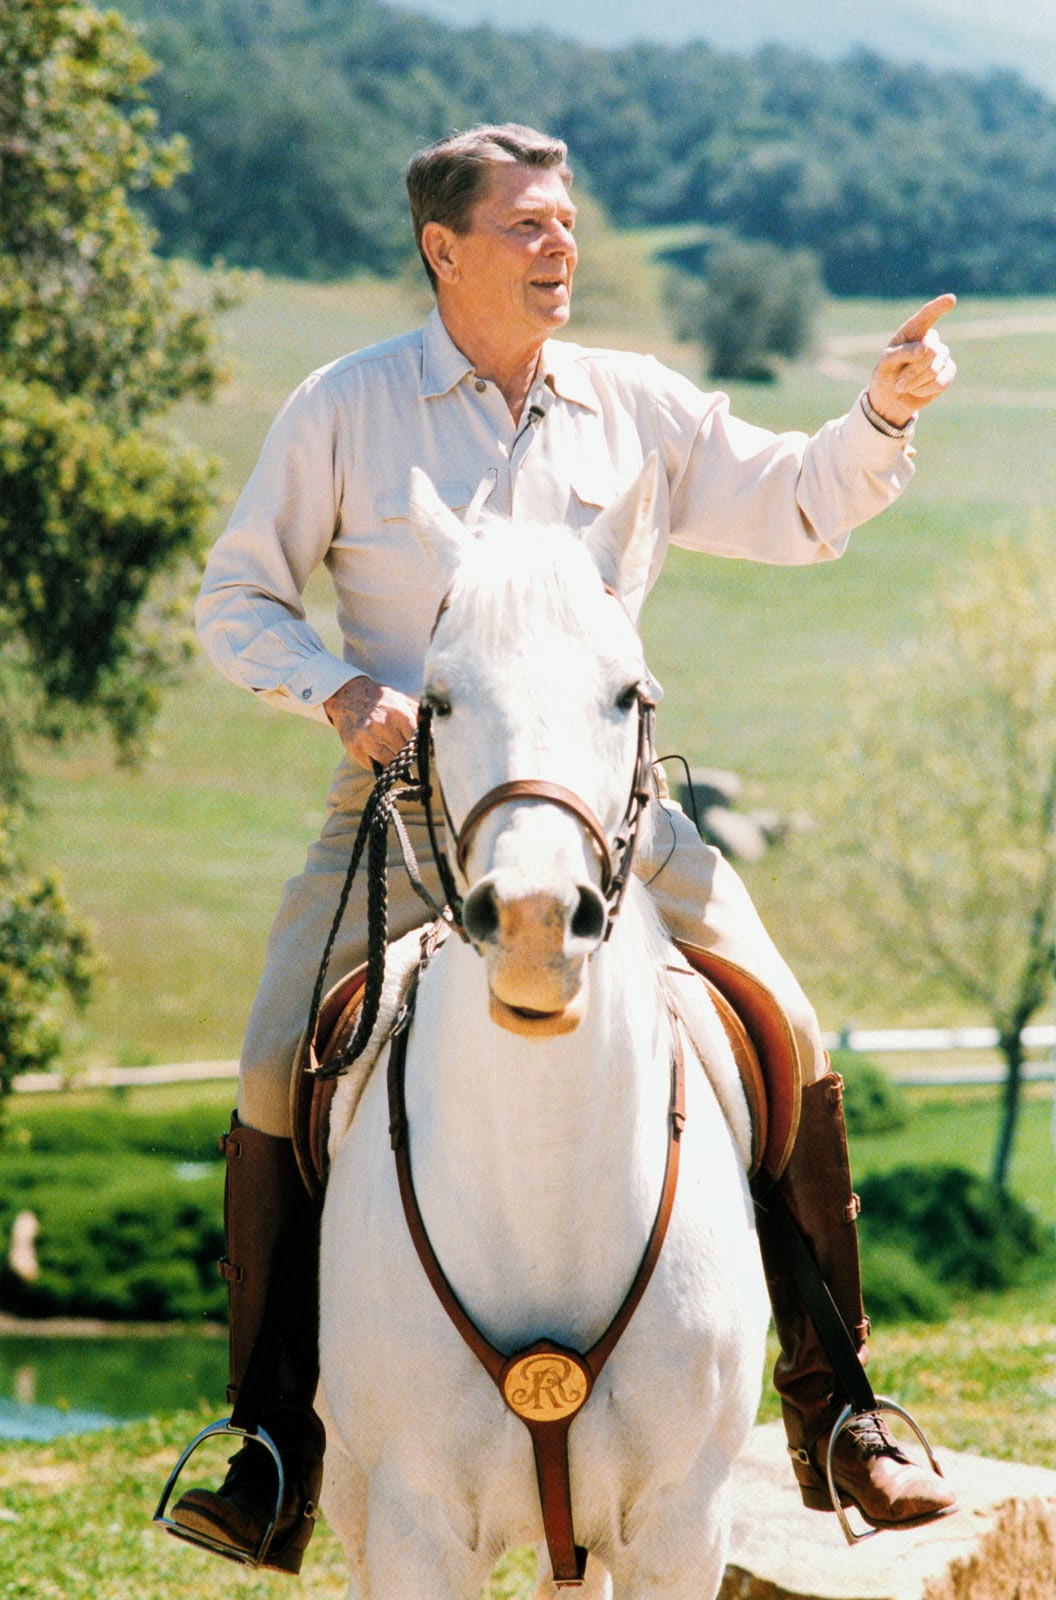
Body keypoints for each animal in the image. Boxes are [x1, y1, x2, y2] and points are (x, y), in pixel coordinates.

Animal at [316, 456, 770, 1600]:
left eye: (628, 694)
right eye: (436, 698)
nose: (531, 925)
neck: (545, 1170)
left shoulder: (679, 1530)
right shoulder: (416, 1532)